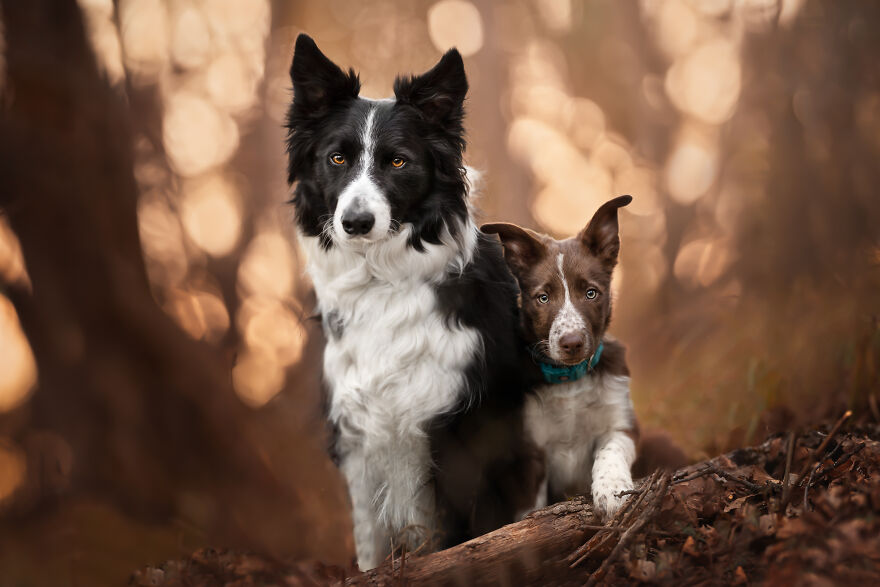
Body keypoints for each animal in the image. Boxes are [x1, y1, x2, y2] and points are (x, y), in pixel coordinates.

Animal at [482, 195, 640, 516]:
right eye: (543, 298)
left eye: (591, 293)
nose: (572, 343)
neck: (570, 379)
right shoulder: (529, 451)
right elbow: (528, 507)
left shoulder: (622, 423)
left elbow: (610, 451)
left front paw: (612, 492)